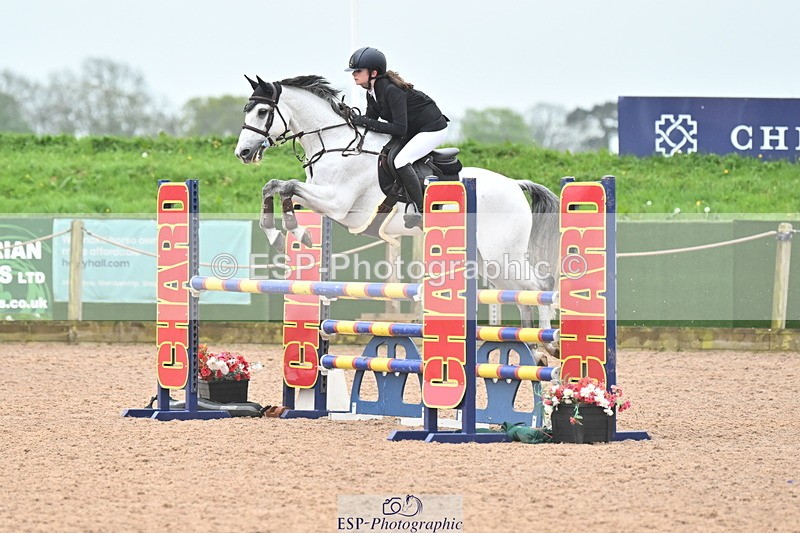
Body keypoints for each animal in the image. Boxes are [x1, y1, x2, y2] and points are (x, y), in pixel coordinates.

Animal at [233, 75, 560, 357]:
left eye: (263, 111)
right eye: (247, 111)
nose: (243, 153)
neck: (336, 145)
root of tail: (515, 184)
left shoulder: (338, 204)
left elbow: (286, 186)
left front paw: (293, 231)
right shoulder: (322, 199)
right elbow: (274, 187)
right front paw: (283, 233)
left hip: (501, 253)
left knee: (539, 287)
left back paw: (549, 344)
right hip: (488, 261)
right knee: (520, 295)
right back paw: (532, 348)